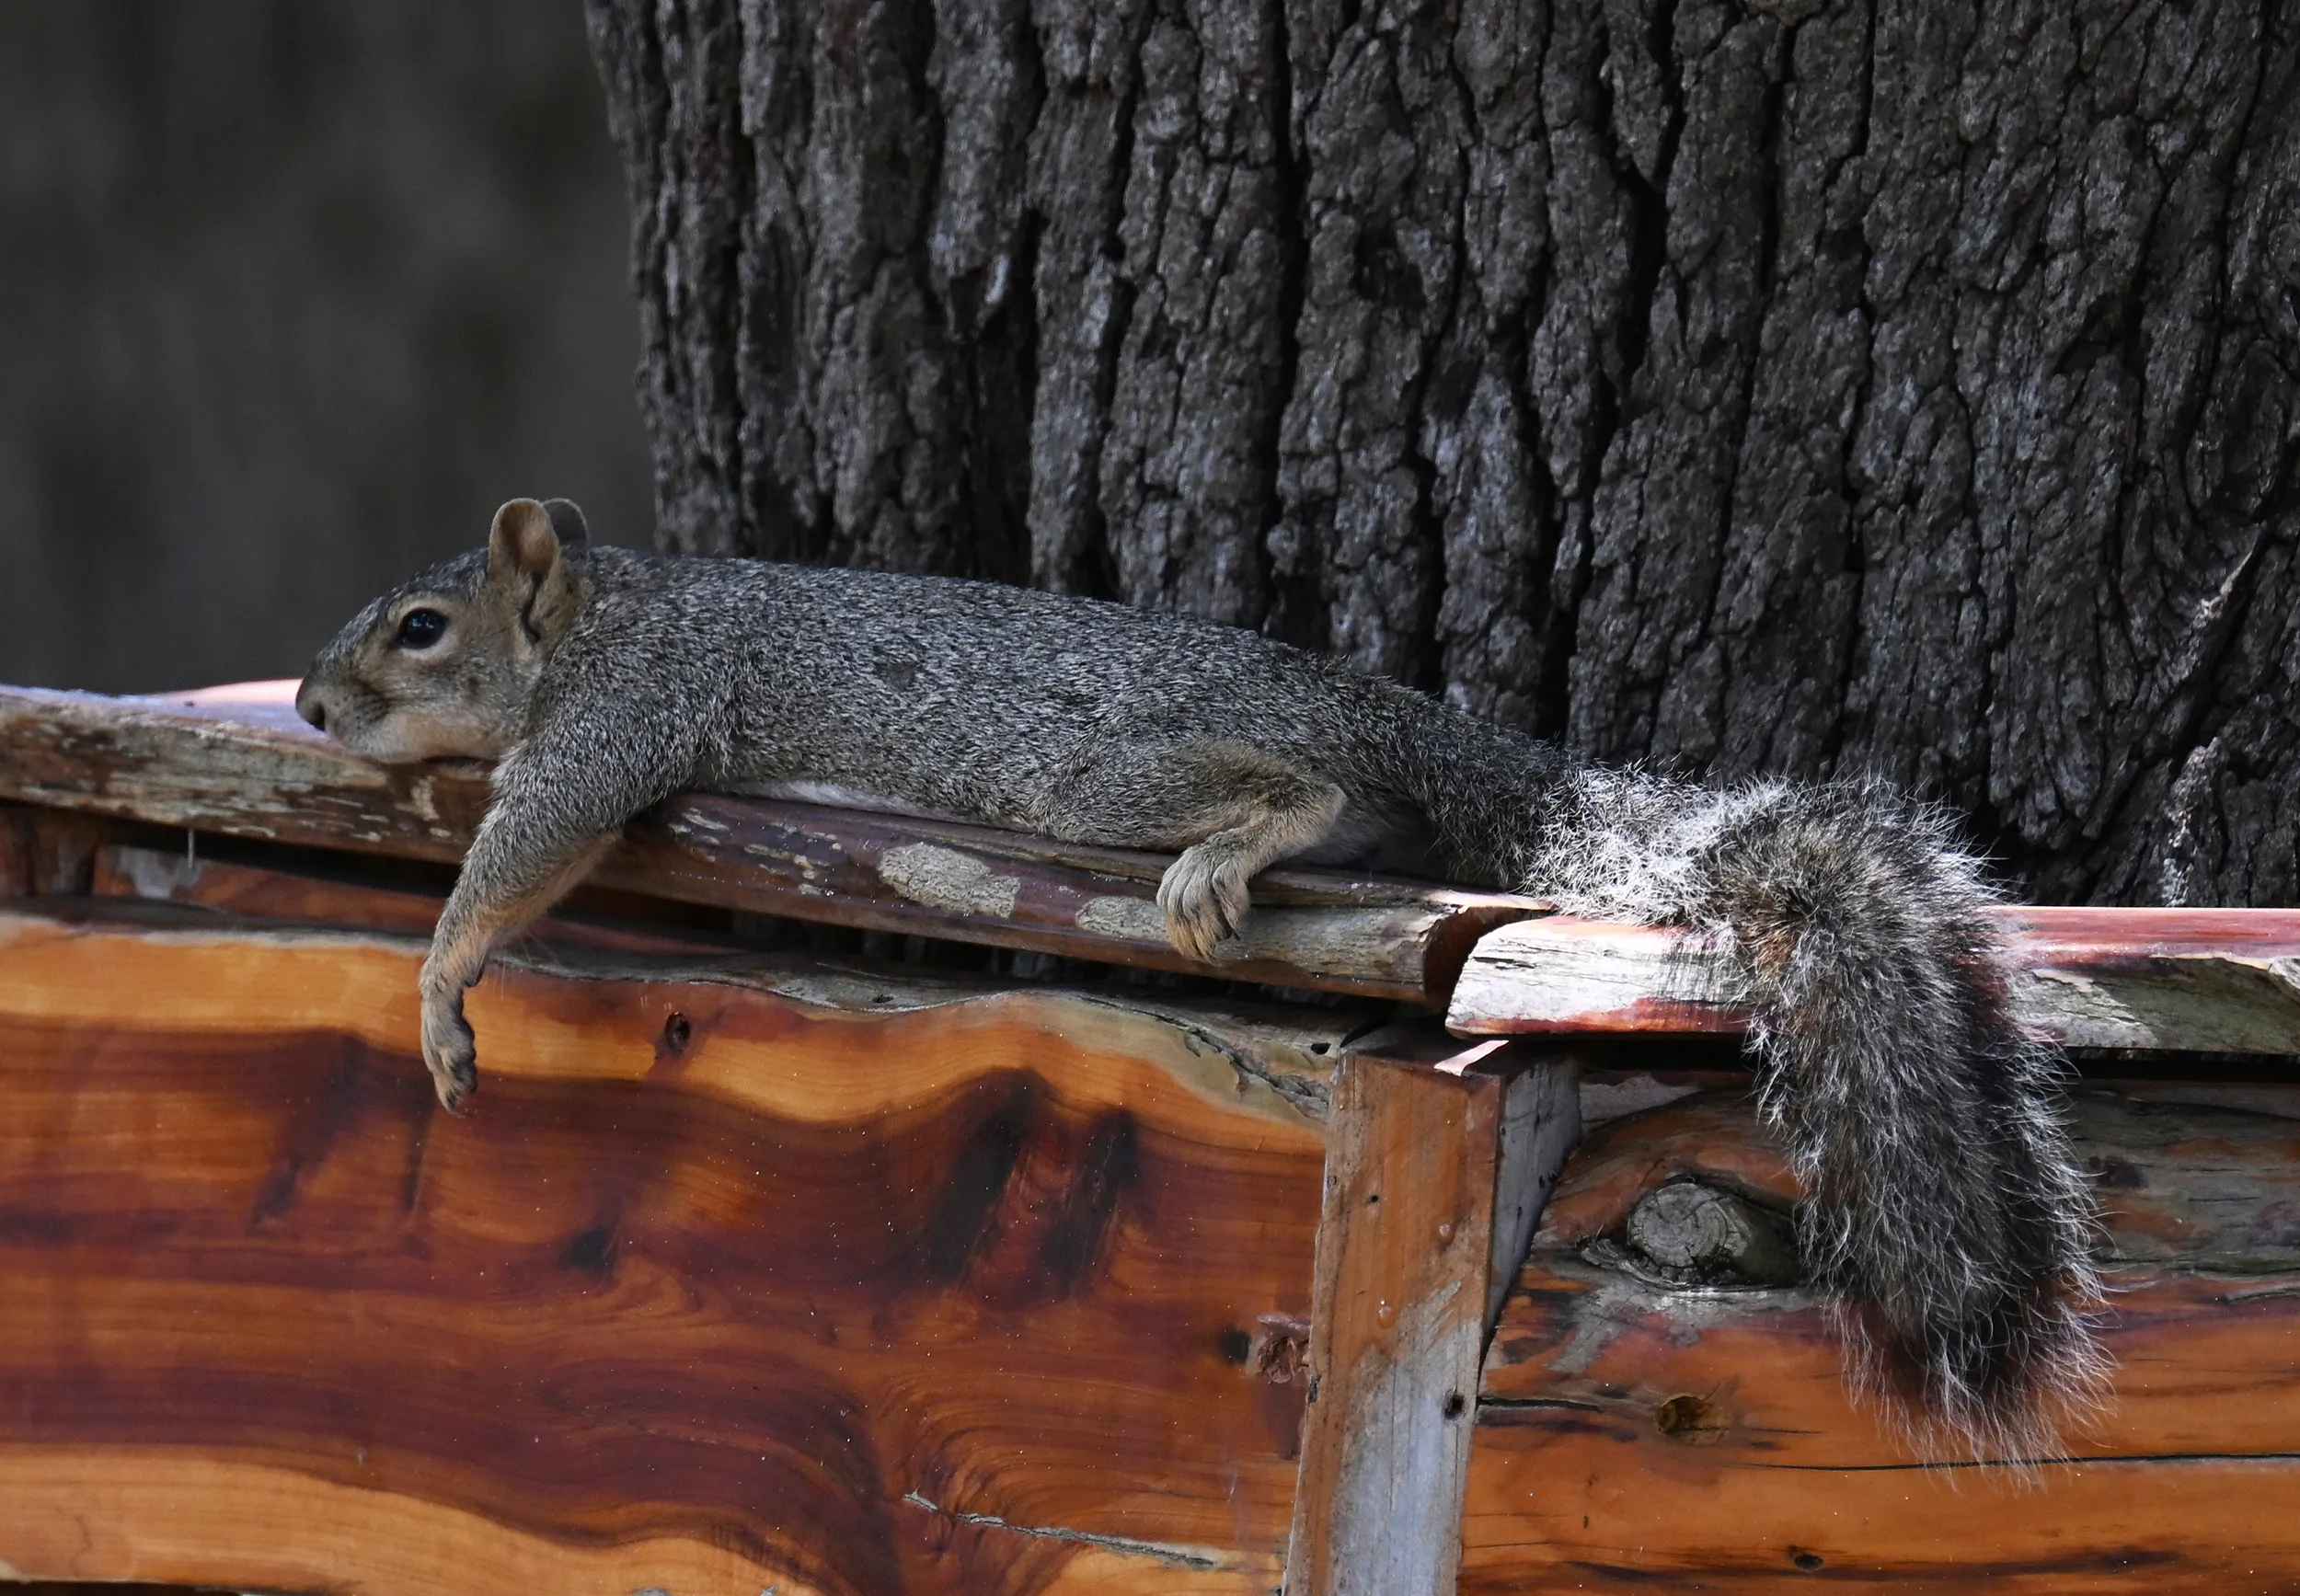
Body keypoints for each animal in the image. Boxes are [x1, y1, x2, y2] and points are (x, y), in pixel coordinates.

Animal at [297, 496, 2102, 1455]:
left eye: (418, 629)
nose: (311, 707)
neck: (611, 605)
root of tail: (1396, 715)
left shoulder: (628, 711)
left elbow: (535, 841)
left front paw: (438, 983)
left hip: (1100, 778)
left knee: (1299, 795)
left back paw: (1235, 845)